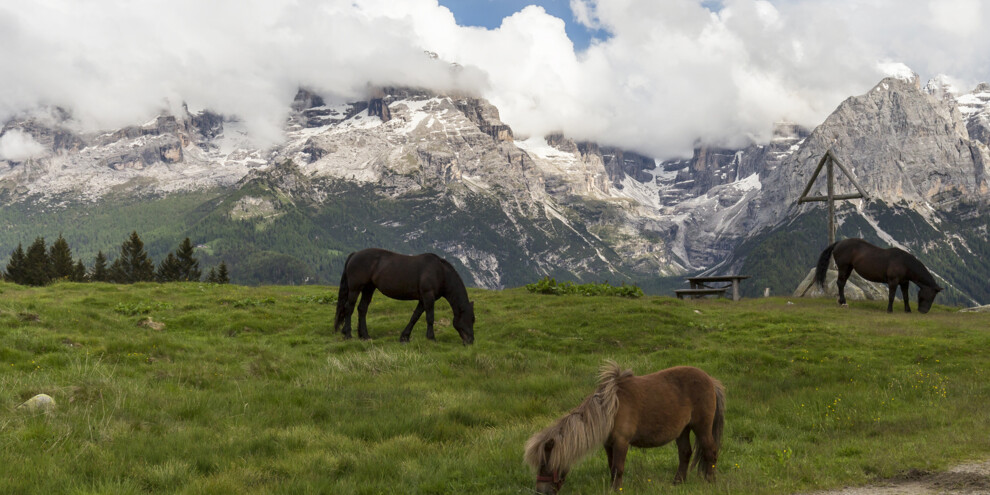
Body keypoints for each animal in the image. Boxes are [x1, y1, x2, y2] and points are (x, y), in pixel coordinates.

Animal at [334, 248, 476, 344]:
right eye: (471, 319)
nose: (470, 341)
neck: (440, 272)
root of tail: (355, 254)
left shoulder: (422, 299)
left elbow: (415, 317)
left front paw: (404, 337)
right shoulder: (428, 296)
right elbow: (430, 317)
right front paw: (431, 338)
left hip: (369, 288)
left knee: (362, 309)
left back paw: (364, 335)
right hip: (355, 289)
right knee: (349, 308)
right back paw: (348, 334)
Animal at [528, 362, 728, 494]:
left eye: (545, 464)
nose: (540, 492)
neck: (610, 410)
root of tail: (711, 380)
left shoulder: (621, 442)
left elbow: (618, 467)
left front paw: (616, 489)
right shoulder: (608, 444)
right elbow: (611, 467)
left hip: (701, 427)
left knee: (710, 451)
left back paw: (710, 482)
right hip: (683, 430)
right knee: (685, 453)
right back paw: (678, 482)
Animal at [812, 237, 944, 314]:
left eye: (933, 297)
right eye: (930, 295)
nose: (923, 311)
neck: (904, 263)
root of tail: (839, 242)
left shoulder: (904, 282)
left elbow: (906, 297)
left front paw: (908, 310)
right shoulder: (893, 281)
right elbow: (891, 296)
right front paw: (889, 310)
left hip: (848, 268)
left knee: (842, 283)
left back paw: (841, 302)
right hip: (844, 268)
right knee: (840, 283)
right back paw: (843, 302)